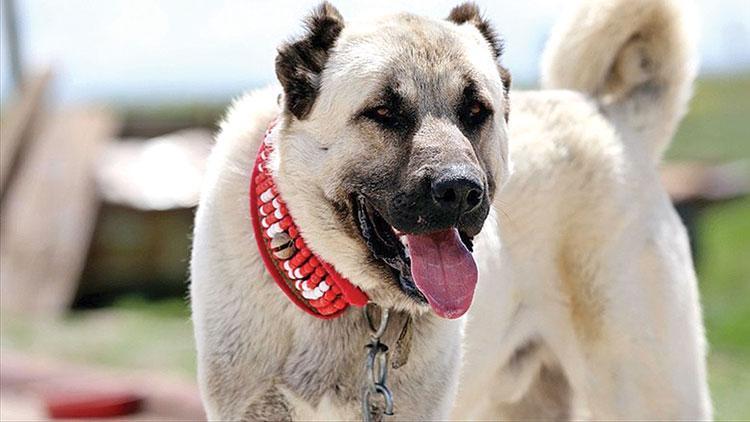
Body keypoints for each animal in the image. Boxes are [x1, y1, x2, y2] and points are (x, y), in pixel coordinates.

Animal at [191, 0, 712, 418]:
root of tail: (612, 116)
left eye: (476, 111)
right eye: (383, 112)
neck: (353, 299)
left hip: (647, 387)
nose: (461, 190)